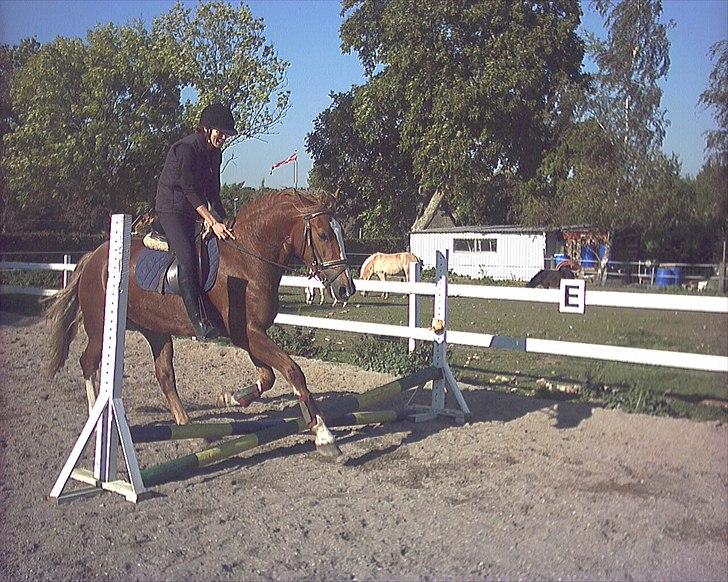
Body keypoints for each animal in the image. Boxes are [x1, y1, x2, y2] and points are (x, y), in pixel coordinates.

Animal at [45, 189, 356, 458]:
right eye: (324, 234)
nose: (346, 289)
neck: (247, 258)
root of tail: (93, 257)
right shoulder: (249, 333)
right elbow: (293, 371)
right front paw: (325, 437)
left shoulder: (249, 334)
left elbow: (267, 377)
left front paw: (230, 398)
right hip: (100, 329)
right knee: (88, 363)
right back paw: (96, 419)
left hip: (156, 331)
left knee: (165, 376)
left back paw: (192, 429)